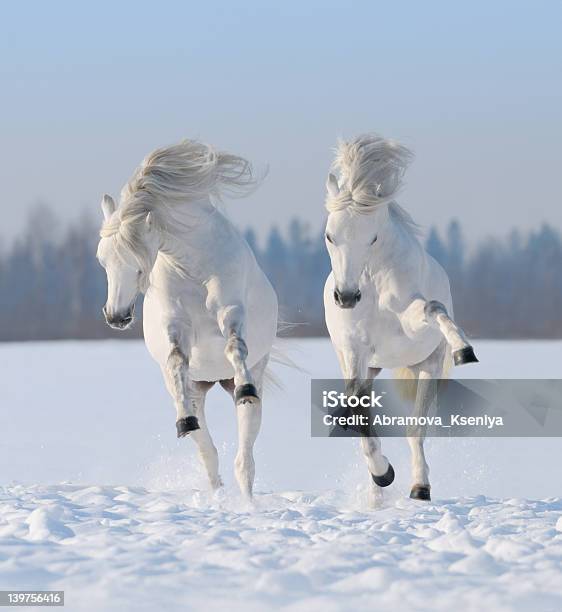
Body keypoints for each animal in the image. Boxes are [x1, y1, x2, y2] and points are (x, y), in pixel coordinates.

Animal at [99, 139, 280, 498]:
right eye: (103, 260)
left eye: (137, 263)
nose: (116, 316)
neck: (194, 267)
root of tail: (214, 380)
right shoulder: (176, 326)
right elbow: (175, 361)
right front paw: (183, 420)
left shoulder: (231, 311)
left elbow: (235, 346)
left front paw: (245, 387)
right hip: (198, 388)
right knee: (208, 454)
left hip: (250, 381)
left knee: (244, 458)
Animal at [322, 134, 474, 502]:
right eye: (330, 235)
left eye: (372, 237)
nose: (346, 297)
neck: (372, 281)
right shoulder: (354, 350)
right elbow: (358, 408)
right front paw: (382, 474)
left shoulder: (411, 322)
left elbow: (433, 308)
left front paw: (464, 349)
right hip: (370, 365)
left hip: (427, 366)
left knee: (416, 426)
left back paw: (419, 486)